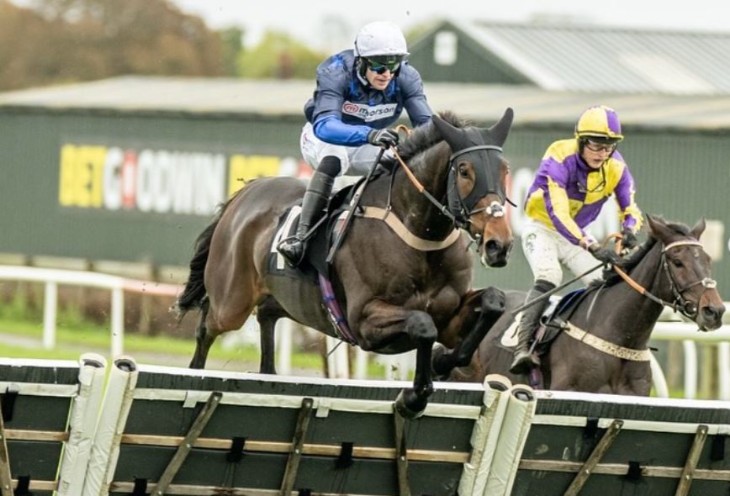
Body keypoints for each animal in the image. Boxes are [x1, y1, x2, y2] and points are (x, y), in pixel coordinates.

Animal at [175, 110, 516, 416]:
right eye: (465, 170)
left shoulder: (450, 317)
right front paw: (414, 397)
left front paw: (442, 362)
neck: (420, 237)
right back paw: (195, 373)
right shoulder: (363, 321)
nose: (499, 244)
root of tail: (247, 191)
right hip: (231, 302)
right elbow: (422, 324)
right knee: (206, 327)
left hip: (281, 297)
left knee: (267, 315)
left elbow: (493, 302)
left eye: (505, 170)